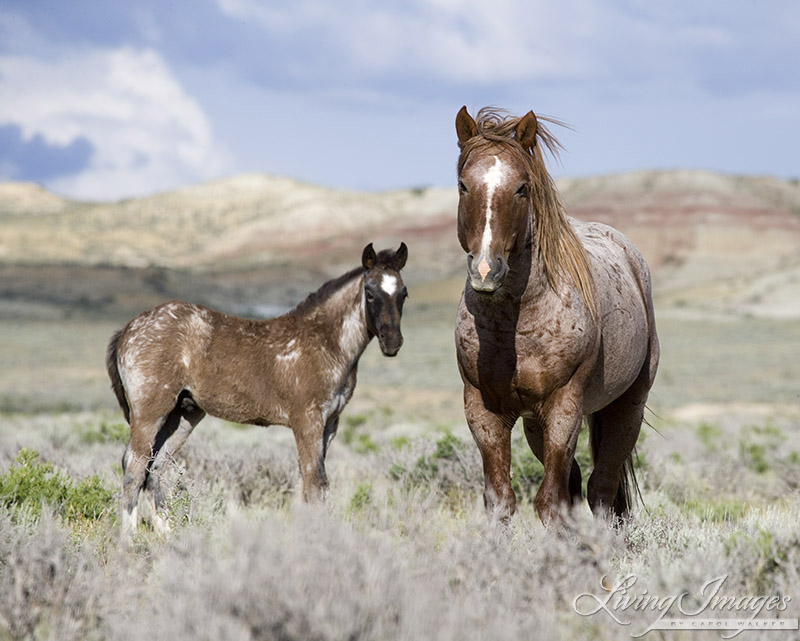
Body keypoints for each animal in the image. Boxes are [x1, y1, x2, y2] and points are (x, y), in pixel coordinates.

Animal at [106, 241, 406, 536]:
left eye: (403, 293)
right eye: (370, 292)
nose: (392, 342)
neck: (325, 342)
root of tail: (128, 329)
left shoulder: (329, 424)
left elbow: (309, 483)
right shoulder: (307, 421)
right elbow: (315, 483)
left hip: (183, 415)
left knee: (155, 468)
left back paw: (169, 535)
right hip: (150, 413)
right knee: (133, 467)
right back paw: (130, 540)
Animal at [454, 106, 660, 524]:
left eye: (522, 188)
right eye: (464, 186)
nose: (485, 271)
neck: (515, 327)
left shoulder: (564, 407)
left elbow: (550, 502)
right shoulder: (483, 410)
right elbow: (501, 500)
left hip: (626, 408)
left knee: (602, 488)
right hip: (536, 424)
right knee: (579, 484)